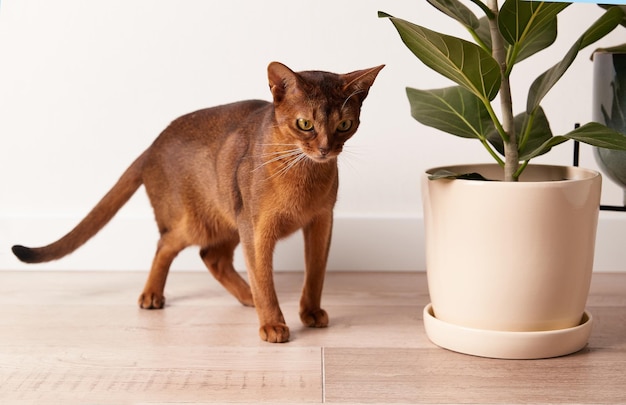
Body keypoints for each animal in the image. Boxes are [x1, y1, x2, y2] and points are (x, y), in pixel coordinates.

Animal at [12, 61, 382, 342]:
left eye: (345, 125)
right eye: (304, 124)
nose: (325, 150)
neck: (304, 172)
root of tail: (151, 145)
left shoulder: (321, 221)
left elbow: (315, 272)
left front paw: (310, 312)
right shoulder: (257, 228)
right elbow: (265, 277)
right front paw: (273, 324)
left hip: (227, 217)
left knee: (212, 257)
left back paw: (246, 296)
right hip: (200, 222)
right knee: (166, 244)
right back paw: (152, 296)